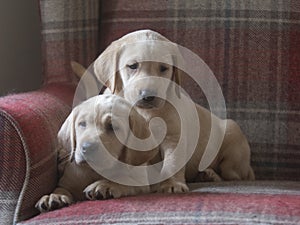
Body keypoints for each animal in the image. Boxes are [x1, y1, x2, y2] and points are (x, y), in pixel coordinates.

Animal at [92, 29, 254, 193]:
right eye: (132, 66)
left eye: (163, 68)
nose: (148, 95)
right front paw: (106, 184)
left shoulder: (174, 136)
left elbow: (172, 162)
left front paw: (172, 184)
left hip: (232, 135)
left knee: (233, 175)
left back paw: (210, 175)